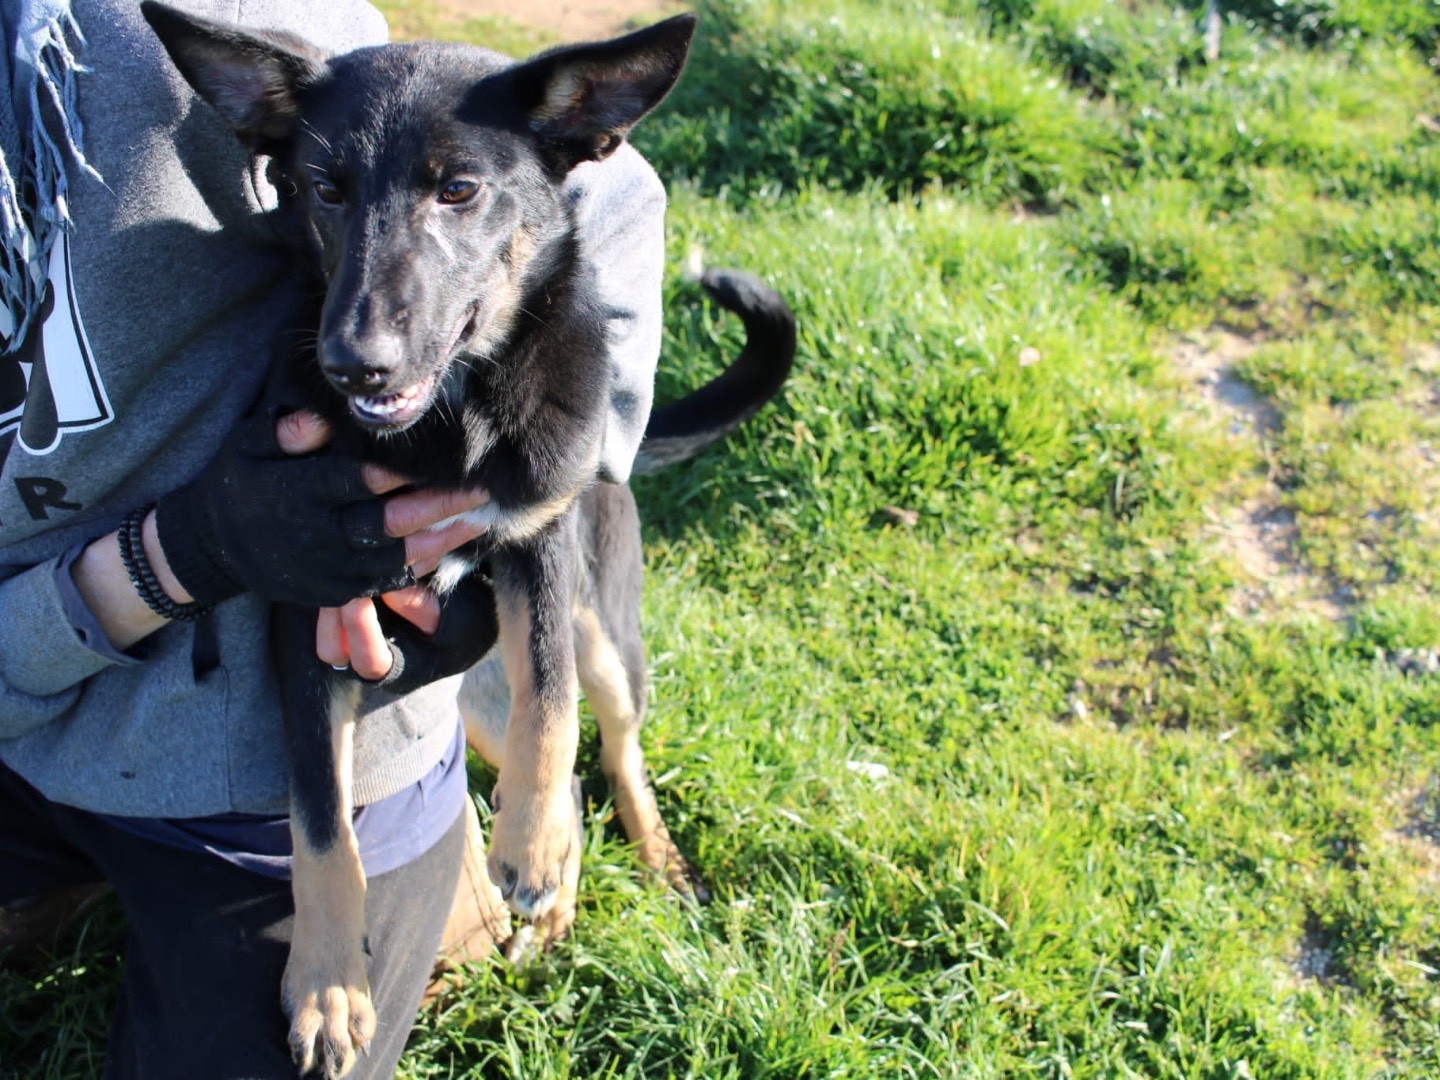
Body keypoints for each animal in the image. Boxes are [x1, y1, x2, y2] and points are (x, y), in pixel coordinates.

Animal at [143, 4, 800, 1077]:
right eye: (325, 187)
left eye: (459, 189)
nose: (355, 363)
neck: (447, 423)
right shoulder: (306, 610)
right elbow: (320, 821)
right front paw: (327, 985)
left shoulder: (537, 550)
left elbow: (553, 707)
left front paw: (528, 846)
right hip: (473, 694)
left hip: (606, 625)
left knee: (613, 743)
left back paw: (641, 861)